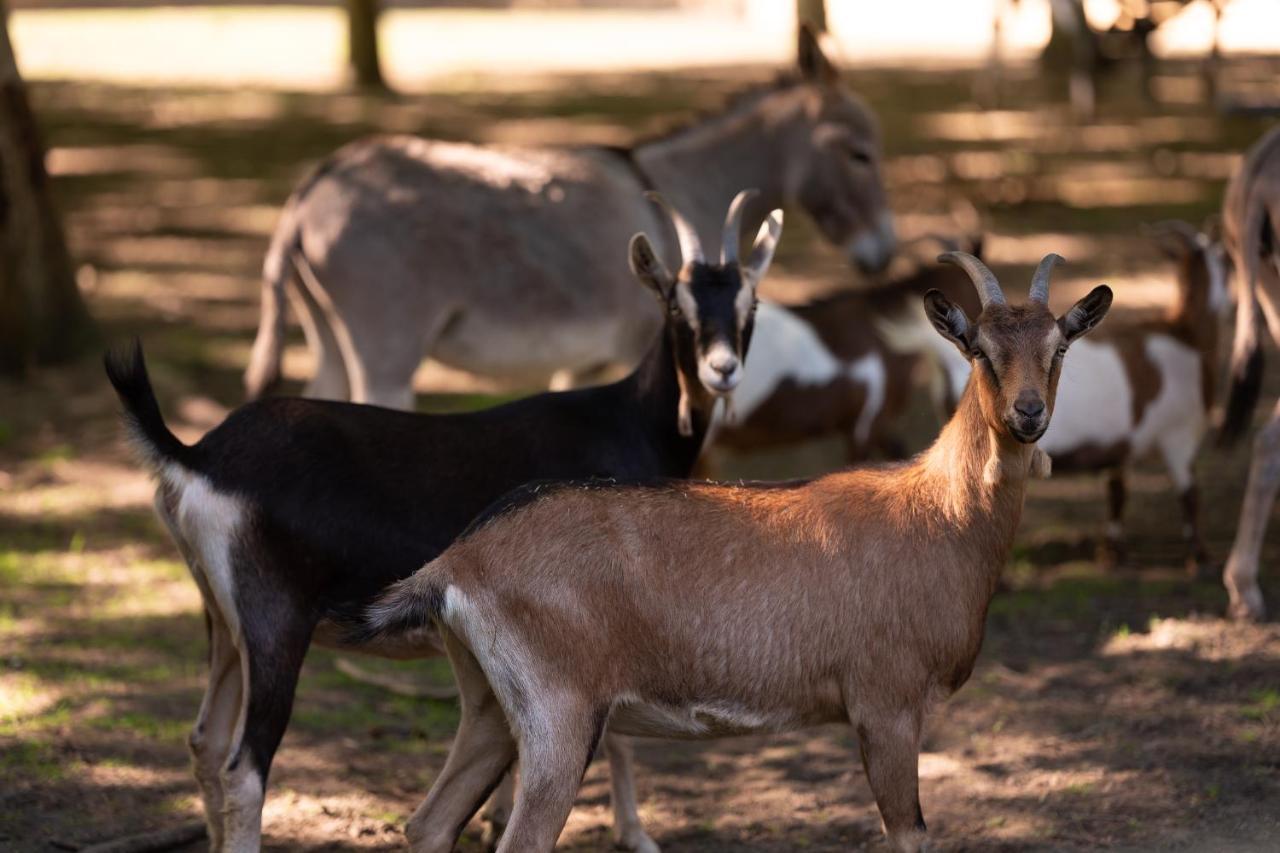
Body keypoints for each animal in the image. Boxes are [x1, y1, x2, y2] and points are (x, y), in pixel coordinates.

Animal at [104, 192, 778, 850]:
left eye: (750, 302)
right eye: (676, 301)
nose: (722, 370)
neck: (629, 421)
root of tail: (198, 454)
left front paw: (498, 819)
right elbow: (615, 734)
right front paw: (635, 835)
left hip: (222, 620)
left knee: (205, 742)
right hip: (275, 621)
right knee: (243, 768)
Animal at [358, 252, 1111, 850]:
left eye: (1059, 347)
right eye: (978, 347)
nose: (1028, 414)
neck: (938, 517)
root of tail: (459, 562)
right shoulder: (887, 705)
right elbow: (912, 837)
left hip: (489, 705)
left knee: (428, 823)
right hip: (557, 716)